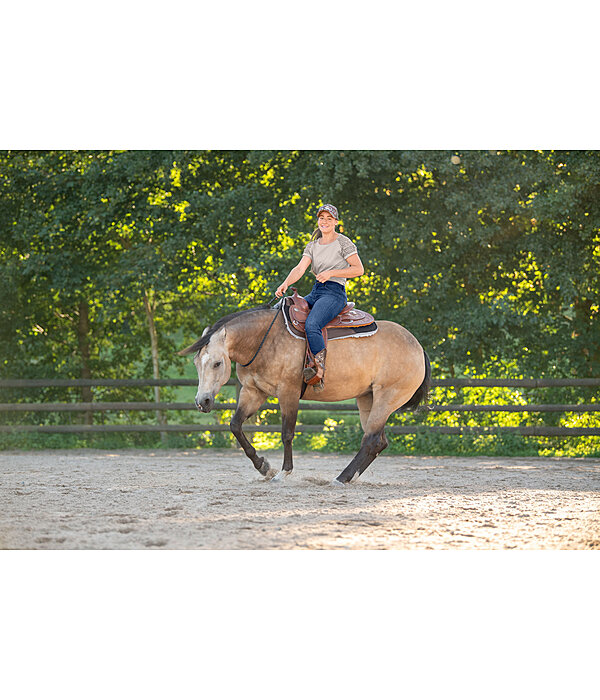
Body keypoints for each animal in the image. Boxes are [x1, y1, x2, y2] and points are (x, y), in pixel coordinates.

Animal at [179, 292, 432, 484]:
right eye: (196, 363)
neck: (264, 340)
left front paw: (283, 473)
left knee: (370, 440)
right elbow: (235, 426)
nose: (202, 402)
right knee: (378, 441)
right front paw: (264, 467)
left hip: (386, 398)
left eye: (217, 363)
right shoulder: (253, 392)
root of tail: (418, 347)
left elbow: (287, 433)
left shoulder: (288, 393)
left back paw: (341, 478)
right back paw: (349, 477)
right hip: (367, 399)